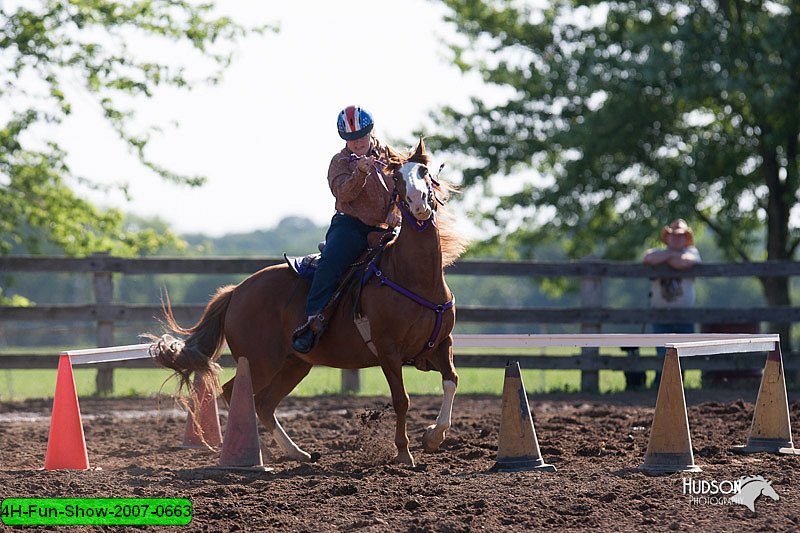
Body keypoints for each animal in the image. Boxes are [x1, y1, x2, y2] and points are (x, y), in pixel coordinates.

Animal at [148, 139, 468, 464]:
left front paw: (433, 436)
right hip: (259, 362)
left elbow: (451, 381)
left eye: (424, 171)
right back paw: (253, 453)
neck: (413, 276)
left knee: (264, 403)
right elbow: (401, 400)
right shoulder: (388, 350)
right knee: (233, 392)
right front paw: (403, 453)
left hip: (294, 364)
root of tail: (237, 291)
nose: (418, 204)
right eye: (397, 179)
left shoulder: (442, 344)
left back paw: (296, 452)